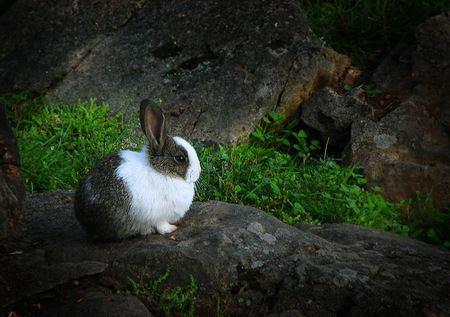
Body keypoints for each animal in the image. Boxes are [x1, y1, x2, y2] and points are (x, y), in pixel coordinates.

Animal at [74, 100, 201, 241]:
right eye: (180, 158)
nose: (198, 172)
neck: (161, 171)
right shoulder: (156, 215)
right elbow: (161, 225)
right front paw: (171, 229)